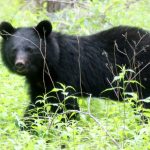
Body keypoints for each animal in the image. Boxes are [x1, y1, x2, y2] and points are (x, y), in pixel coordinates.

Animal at [0, 20, 150, 126]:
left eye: (30, 49)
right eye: (14, 50)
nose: (20, 64)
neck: (45, 67)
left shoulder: (65, 74)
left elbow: (65, 105)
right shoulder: (40, 84)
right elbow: (38, 105)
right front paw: (28, 128)